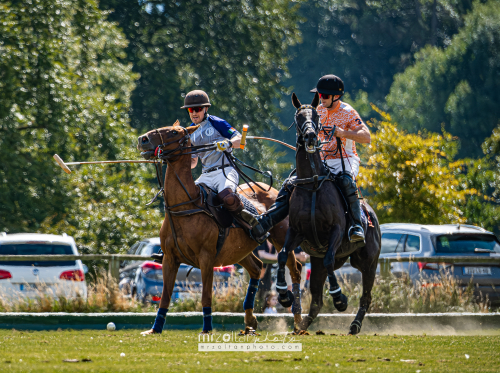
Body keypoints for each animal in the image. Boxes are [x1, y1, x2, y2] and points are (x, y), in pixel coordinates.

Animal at [135, 123, 302, 334]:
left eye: (174, 132)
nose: (143, 139)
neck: (183, 206)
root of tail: (273, 189)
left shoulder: (206, 258)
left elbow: (206, 295)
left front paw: (207, 328)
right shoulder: (170, 258)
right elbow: (165, 296)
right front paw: (155, 329)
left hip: (280, 239)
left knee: (295, 269)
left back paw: (297, 322)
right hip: (238, 250)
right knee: (257, 268)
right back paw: (250, 321)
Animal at [276, 93, 380, 334]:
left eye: (315, 116)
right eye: (298, 117)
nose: (311, 137)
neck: (313, 182)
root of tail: (373, 216)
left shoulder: (336, 230)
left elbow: (329, 258)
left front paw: (340, 298)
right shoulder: (295, 230)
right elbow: (283, 254)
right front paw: (284, 295)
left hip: (368, 261)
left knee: (366, 296)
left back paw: (355, 325)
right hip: (318, 261)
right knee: (316, 300)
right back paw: (301, 326)